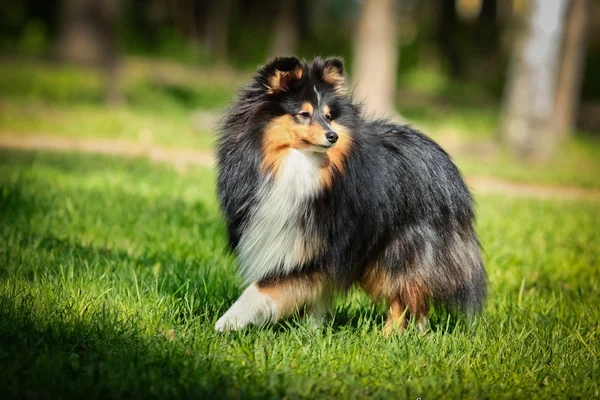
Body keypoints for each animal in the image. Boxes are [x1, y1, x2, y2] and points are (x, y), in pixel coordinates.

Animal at [213, 54, 486, 332]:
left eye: (329, 116)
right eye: (304, 114)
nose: (332, 136)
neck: (298, 163)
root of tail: (447, 163)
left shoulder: (312, 249)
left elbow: (262, 288)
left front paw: (226, 322)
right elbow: (315, 298)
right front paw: (311, 332)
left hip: (401, 246)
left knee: (402, 295)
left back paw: (390, 336)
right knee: (415, 301)